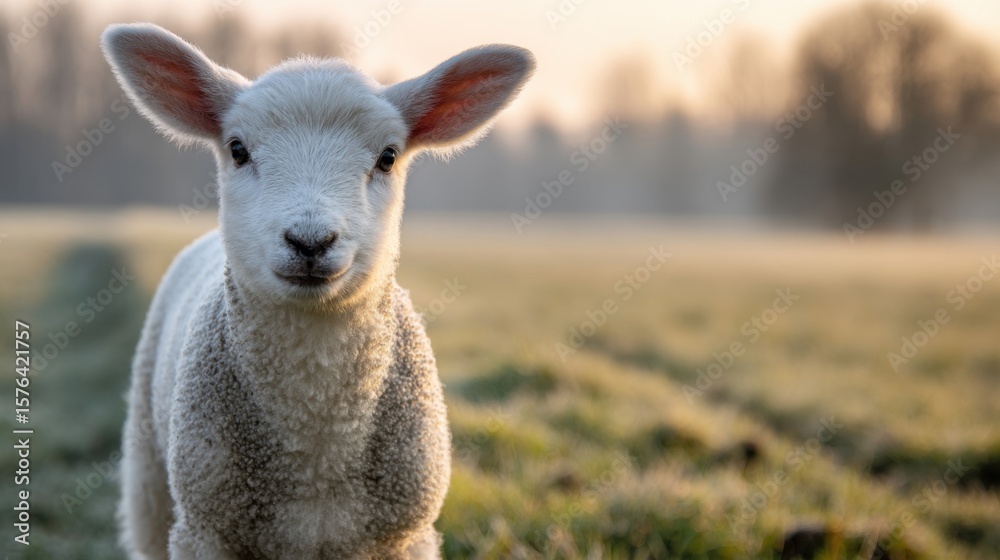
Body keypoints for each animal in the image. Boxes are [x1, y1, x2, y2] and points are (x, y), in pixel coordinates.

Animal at [100, 23, 534, 560]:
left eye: (388, 157)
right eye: (238, 149)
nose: (310, 241)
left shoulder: (405, 534)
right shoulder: (205, 530)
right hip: (150, 478)